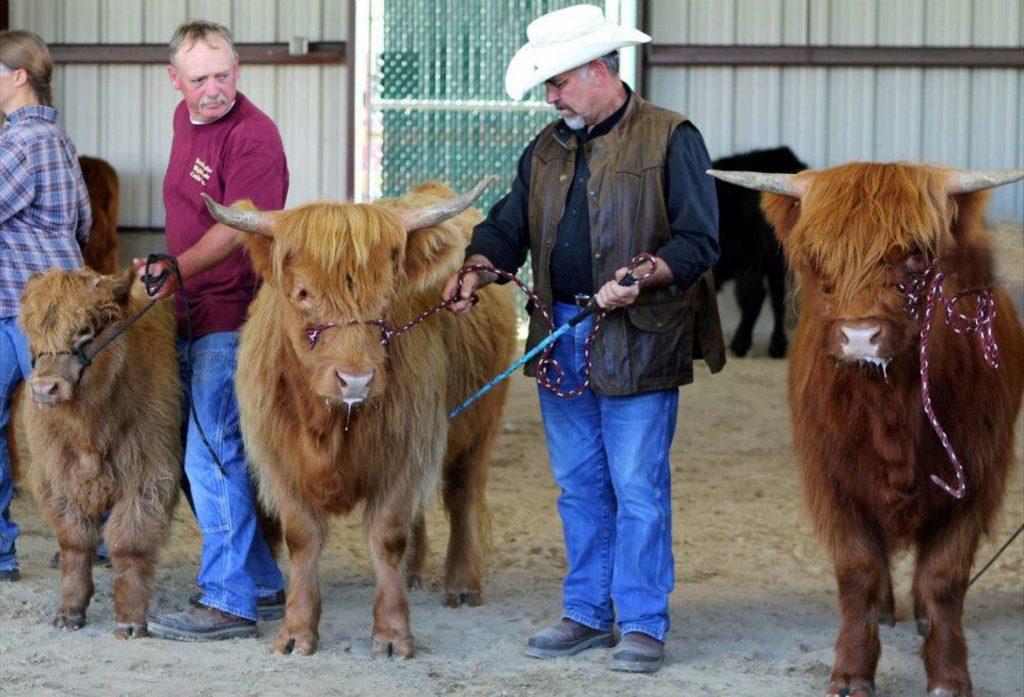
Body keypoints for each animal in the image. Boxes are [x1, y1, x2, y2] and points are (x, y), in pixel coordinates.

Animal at [19, 266, 182, 634]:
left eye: (84, 331)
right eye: (33, 332)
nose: (44, 389)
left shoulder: (148, 474)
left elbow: (130, 542)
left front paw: (130, 619)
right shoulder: (57, 477)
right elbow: (75, 542)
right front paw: (69, 610)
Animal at [203, 177, 516, 655]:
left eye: (387, 294)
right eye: (303, 294)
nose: (356, 380)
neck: (329, 424)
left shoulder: (407, 448)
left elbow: (387, 535)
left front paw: (392, 634)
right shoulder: (281, 460)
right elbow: (302, 538)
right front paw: (296, 631)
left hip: (482, 421)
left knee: (463, 493)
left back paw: (462, 585)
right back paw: (414, 571)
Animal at [712, 144, 806, 356]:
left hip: (752, 255)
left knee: (755, 294)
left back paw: (740, 344)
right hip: (774, 261)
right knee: (778, 297)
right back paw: (777, 346)